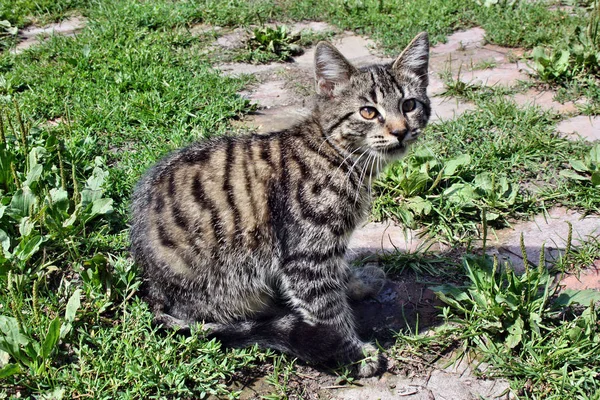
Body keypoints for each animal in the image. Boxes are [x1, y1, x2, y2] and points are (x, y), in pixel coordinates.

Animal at [131, 32, 432, 378]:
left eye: (409, 105)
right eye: (368, 112)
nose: (401, 131)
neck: (344, 160)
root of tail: (150, 286)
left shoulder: (328, 247)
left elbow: (340, 273)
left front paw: (358, 283)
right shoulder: (306, 254)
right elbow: (328, 311)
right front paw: (350, 354)